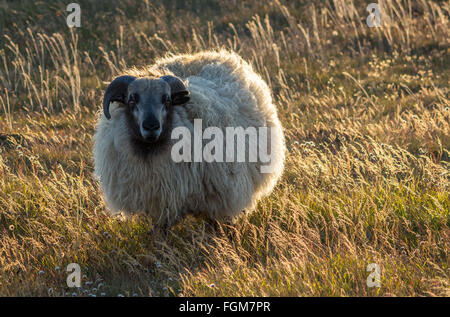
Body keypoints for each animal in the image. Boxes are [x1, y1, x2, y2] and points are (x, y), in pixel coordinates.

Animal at [92, 49, 284, 228]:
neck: (151, 152)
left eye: (167, 100)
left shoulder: (218, 198)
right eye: (132, 100)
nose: (151, 126)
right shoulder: (160, 203)